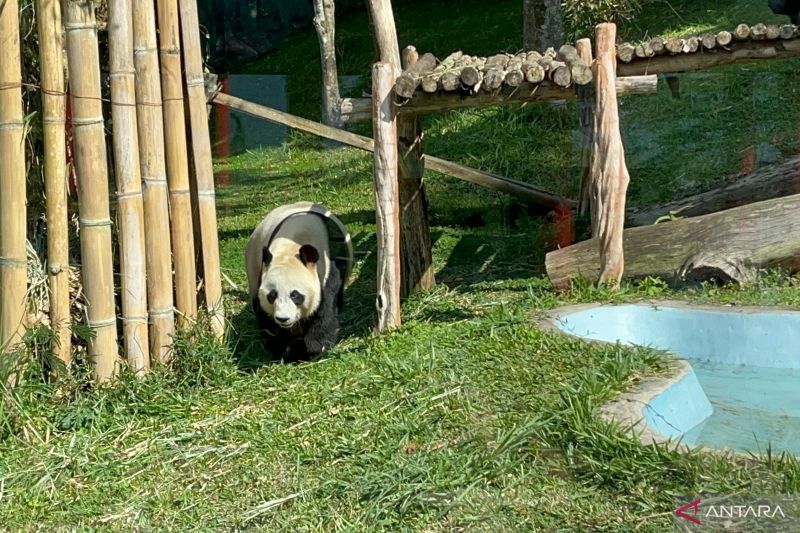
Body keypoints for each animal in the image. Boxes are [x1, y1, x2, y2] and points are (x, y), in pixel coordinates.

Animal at [245, 202, 353, 361]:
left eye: (295, 295)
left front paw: (313, 349)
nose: (283, 318)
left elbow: (324, 310)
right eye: (272, 295)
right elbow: (267, 319)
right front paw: (284, 349)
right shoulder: (263, 273)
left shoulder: (330, 268)